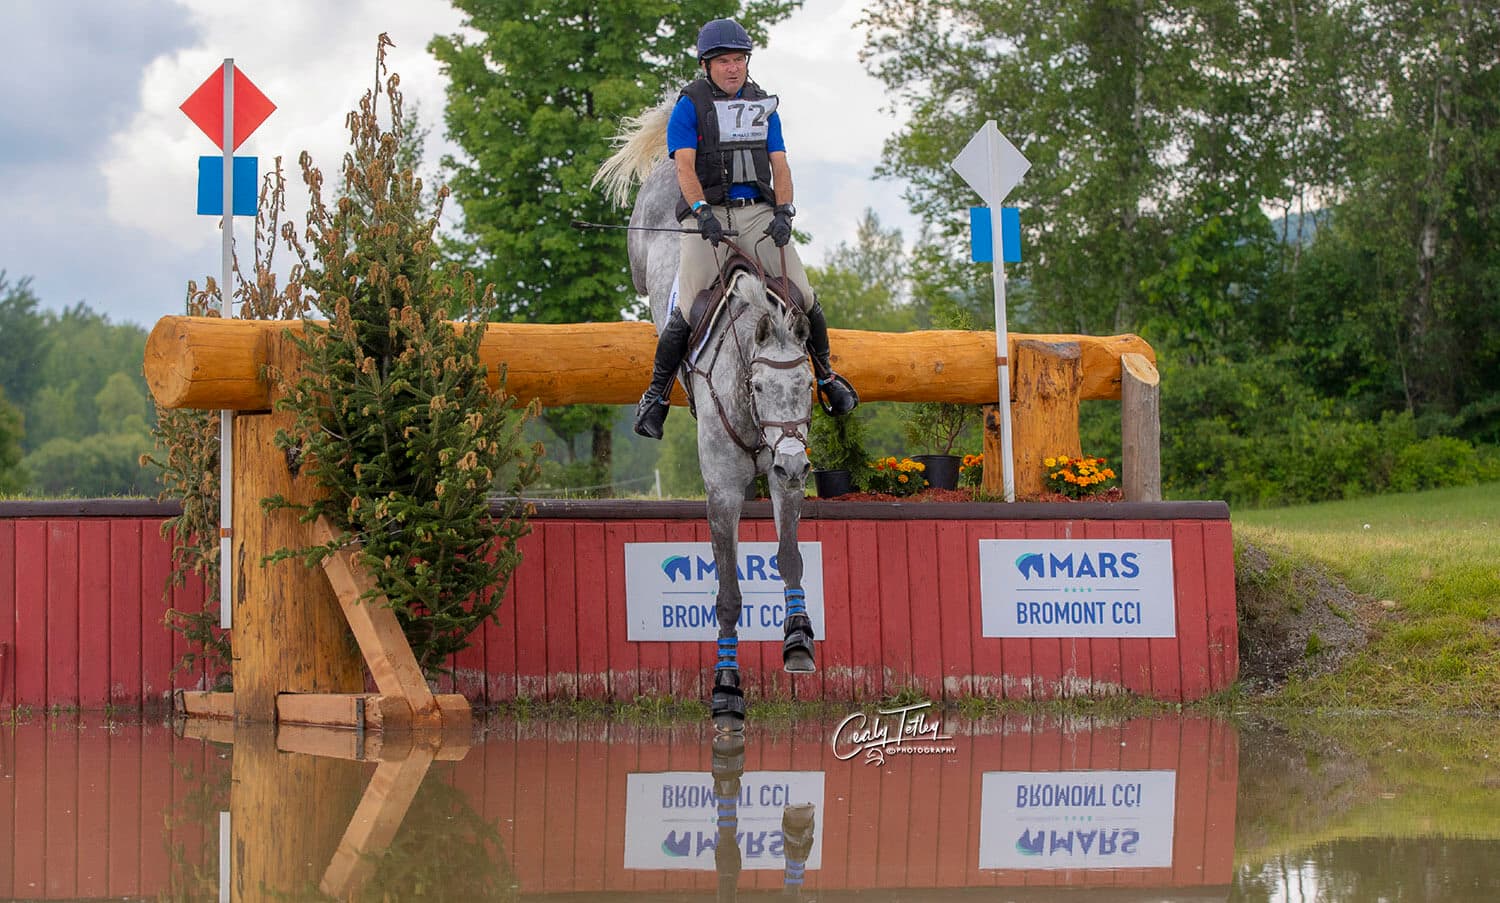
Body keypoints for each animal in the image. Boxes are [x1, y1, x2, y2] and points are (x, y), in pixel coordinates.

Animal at [595, 97, 818, 731]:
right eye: (757, 384)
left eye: (808, 383)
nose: (793, 462)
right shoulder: (720, 491)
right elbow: (726, 592)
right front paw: (726, 691)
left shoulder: (783, 478)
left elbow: (789, 557)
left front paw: (798, 640)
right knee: (662, 312)